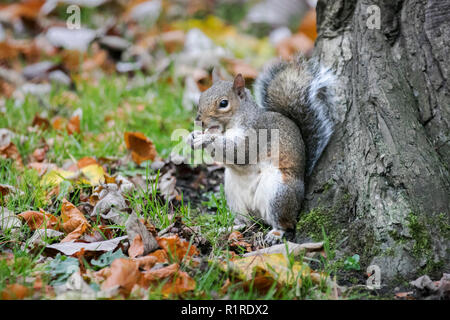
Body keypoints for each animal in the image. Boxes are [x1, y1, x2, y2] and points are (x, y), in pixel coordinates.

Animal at [186, 55, 334, 245]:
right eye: (202, 96)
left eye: (223, 103)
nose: (199, 120)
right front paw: (193, 136)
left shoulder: (256, 134)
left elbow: (239, 152)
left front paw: (205, 138)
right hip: (234, 196)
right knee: (246, 222)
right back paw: (228, 228)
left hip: (278, 193)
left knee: (286, 223)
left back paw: (276, 233)